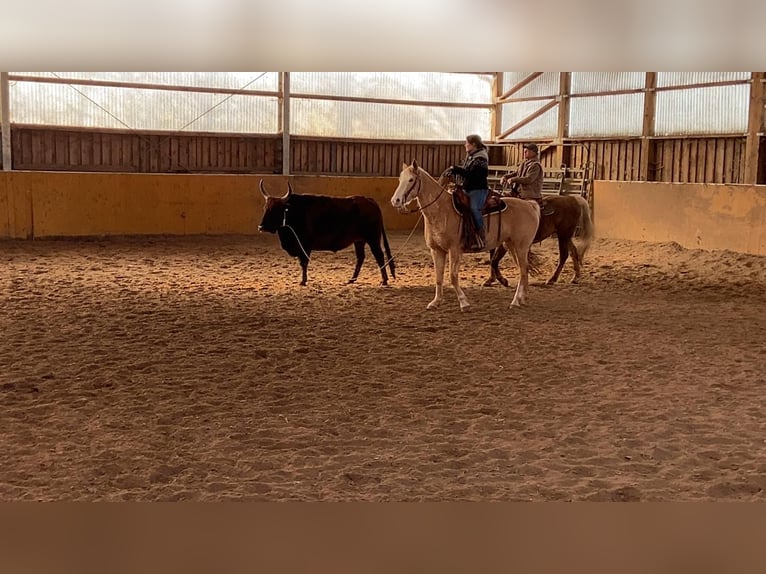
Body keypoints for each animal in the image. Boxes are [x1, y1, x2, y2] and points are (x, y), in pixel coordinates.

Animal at [391, 161, 540, 311]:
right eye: (400, 179)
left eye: (411, 180)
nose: (395, 200)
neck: (442, 210)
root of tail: (530, 205)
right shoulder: (437, 250)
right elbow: (438, 277)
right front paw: (435, 302)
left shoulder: (455, 250)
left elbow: (452, 276)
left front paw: (464, 302)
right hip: (511, 246)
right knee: (524, 270)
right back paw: (522, 299)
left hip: (521, 247)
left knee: (523, 271)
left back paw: (515, 301)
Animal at [437, 172, 595, 287]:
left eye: (446, 176)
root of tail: (573, 199)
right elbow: (492, 259)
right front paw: (491, 279)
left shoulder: (503, 243)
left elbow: (494, 260)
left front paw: (502, 280)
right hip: (565, 235)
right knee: (574, 252)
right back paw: (575, 277)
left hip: (563, 234)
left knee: (564, 255)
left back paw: (552, 279)